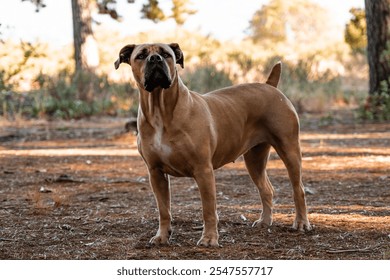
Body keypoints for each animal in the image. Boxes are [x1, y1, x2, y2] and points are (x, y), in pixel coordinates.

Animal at [114, 42, 312, 246]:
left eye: (166, 54)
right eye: (140, 55)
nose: (155, 59)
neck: (159, 109)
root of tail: (269, 86)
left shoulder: (203, 171)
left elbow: (208, 209)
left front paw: (209, 238)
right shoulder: (156, 173)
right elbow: (164, 210)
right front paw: (162, 236)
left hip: (289, 149)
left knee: (298, 189)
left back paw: (301, 223)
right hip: (254, 160)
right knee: (267, 189)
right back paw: (265, 221)